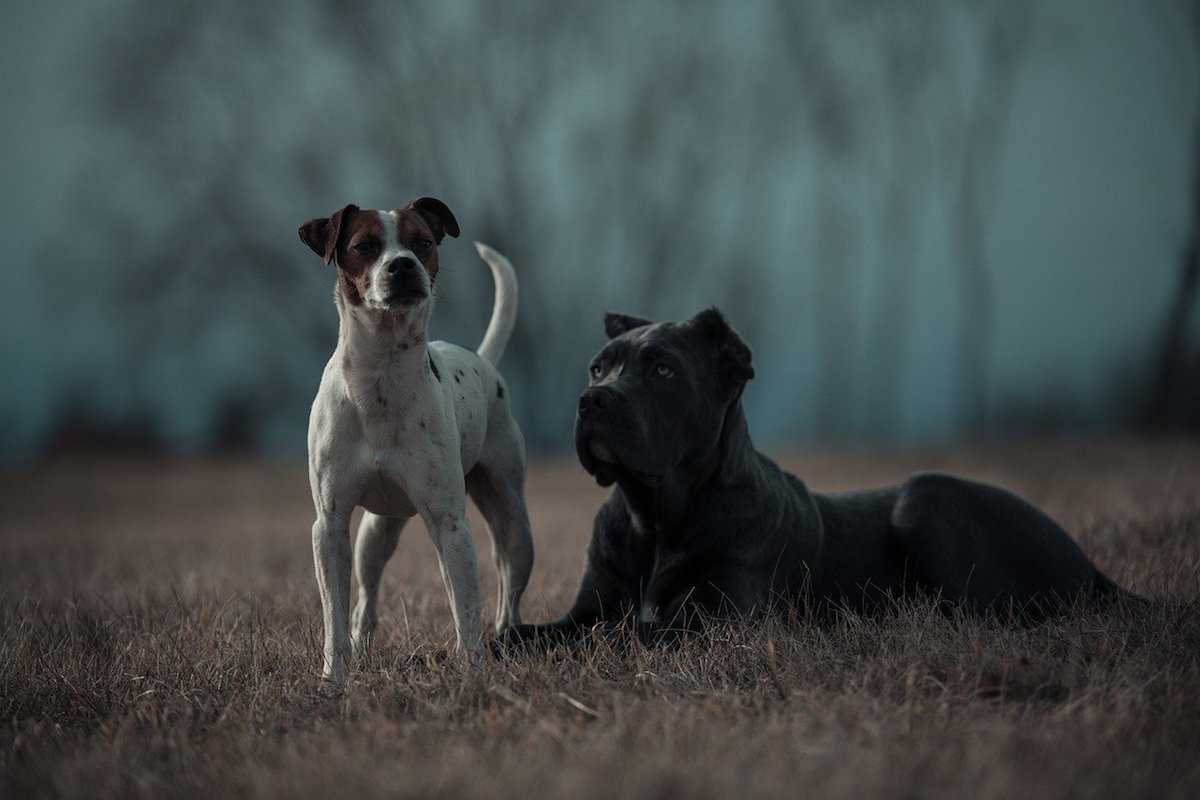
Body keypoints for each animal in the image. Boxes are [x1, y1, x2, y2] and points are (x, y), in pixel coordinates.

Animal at [297, 199, 532, 695]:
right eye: (363, 246)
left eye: (422, 242)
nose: (402, 264)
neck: (381, 380)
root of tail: (482, 360)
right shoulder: (330, 527)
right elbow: (334, 616)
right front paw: (332, 681)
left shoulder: (450, 523)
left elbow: (467, 611)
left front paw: (473, 675)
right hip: (374, 534)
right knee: (367, 600)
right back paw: (362, 643)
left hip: (511, 523)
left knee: (505, 589)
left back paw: (505, 638)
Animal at [501, 309, 1128, 647]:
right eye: (598, 368)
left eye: (663, 370)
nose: (592, 400)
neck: (654, 518)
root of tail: (1092, 568)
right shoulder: (589, 608)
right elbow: (521, 635)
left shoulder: (715, 621)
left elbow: (623, 632)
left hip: (926, 497)